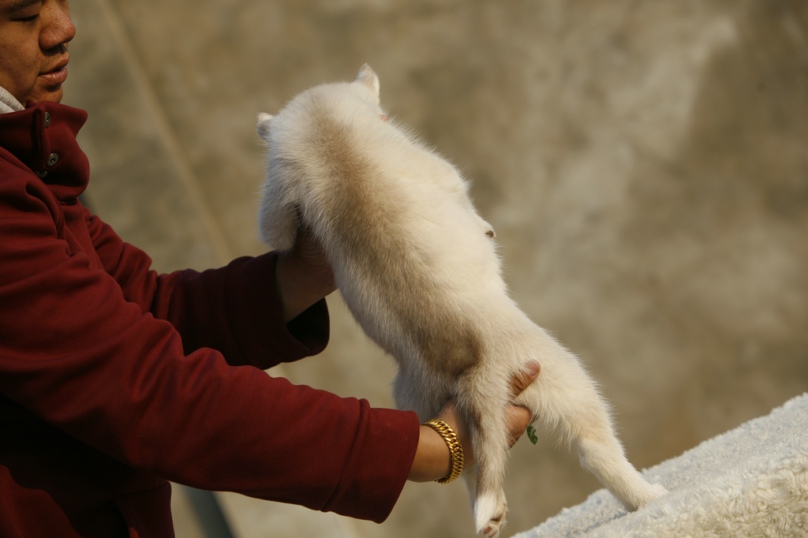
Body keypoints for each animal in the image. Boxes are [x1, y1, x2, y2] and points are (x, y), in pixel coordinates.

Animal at [256, 64, 667, 537]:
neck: (326, 134)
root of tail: (473, 372)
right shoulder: (434, 166)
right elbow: (458, 190)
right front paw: (485, 228)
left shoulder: (279, 194)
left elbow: (277, 232)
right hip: (570, 381)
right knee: (597, 450)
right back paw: (648, 496)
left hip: (425, 407)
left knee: (467, 464)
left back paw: (491, 515)